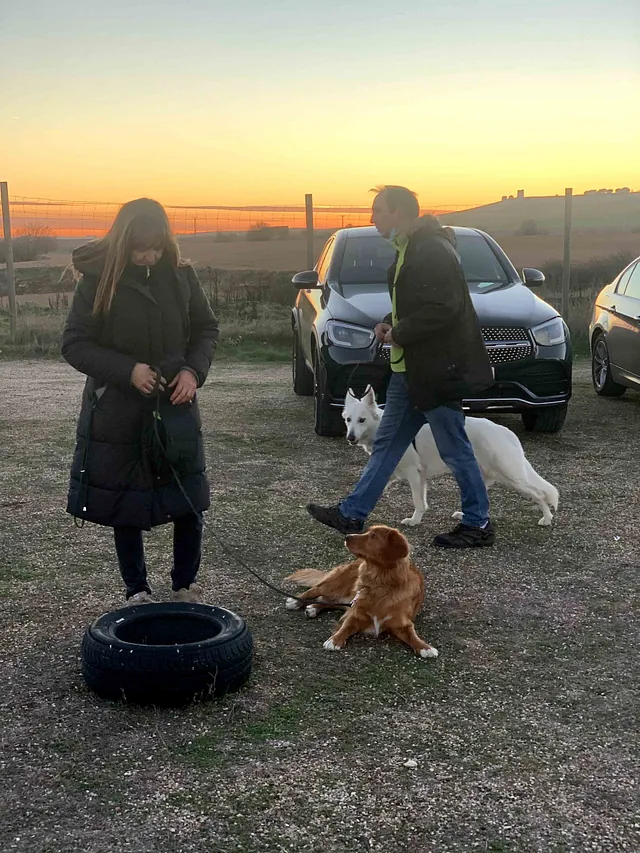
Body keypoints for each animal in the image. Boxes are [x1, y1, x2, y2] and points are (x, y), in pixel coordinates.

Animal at [284, 524, 436, 656]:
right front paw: (334, 640)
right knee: (317, 590)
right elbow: (345, 626)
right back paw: (295, 601)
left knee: (328, 601)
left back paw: (313, 608)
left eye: (373, 536)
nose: (347, 536)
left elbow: (412, 635)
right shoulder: (355, 614)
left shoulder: (403, 623)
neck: (380, 582)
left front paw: (425, 647)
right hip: (338, 584)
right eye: (367, 532)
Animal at [342, 388, 556, 524]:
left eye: (362, 420)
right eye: (348, 420)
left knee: (539, 493)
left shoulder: (413, 474)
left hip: (511, 476)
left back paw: (547, 518)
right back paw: (465, 515)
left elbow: (418, 501)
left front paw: (414, 520)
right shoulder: (396, 472)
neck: (382, 428)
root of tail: (503, 431)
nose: (350, 437)